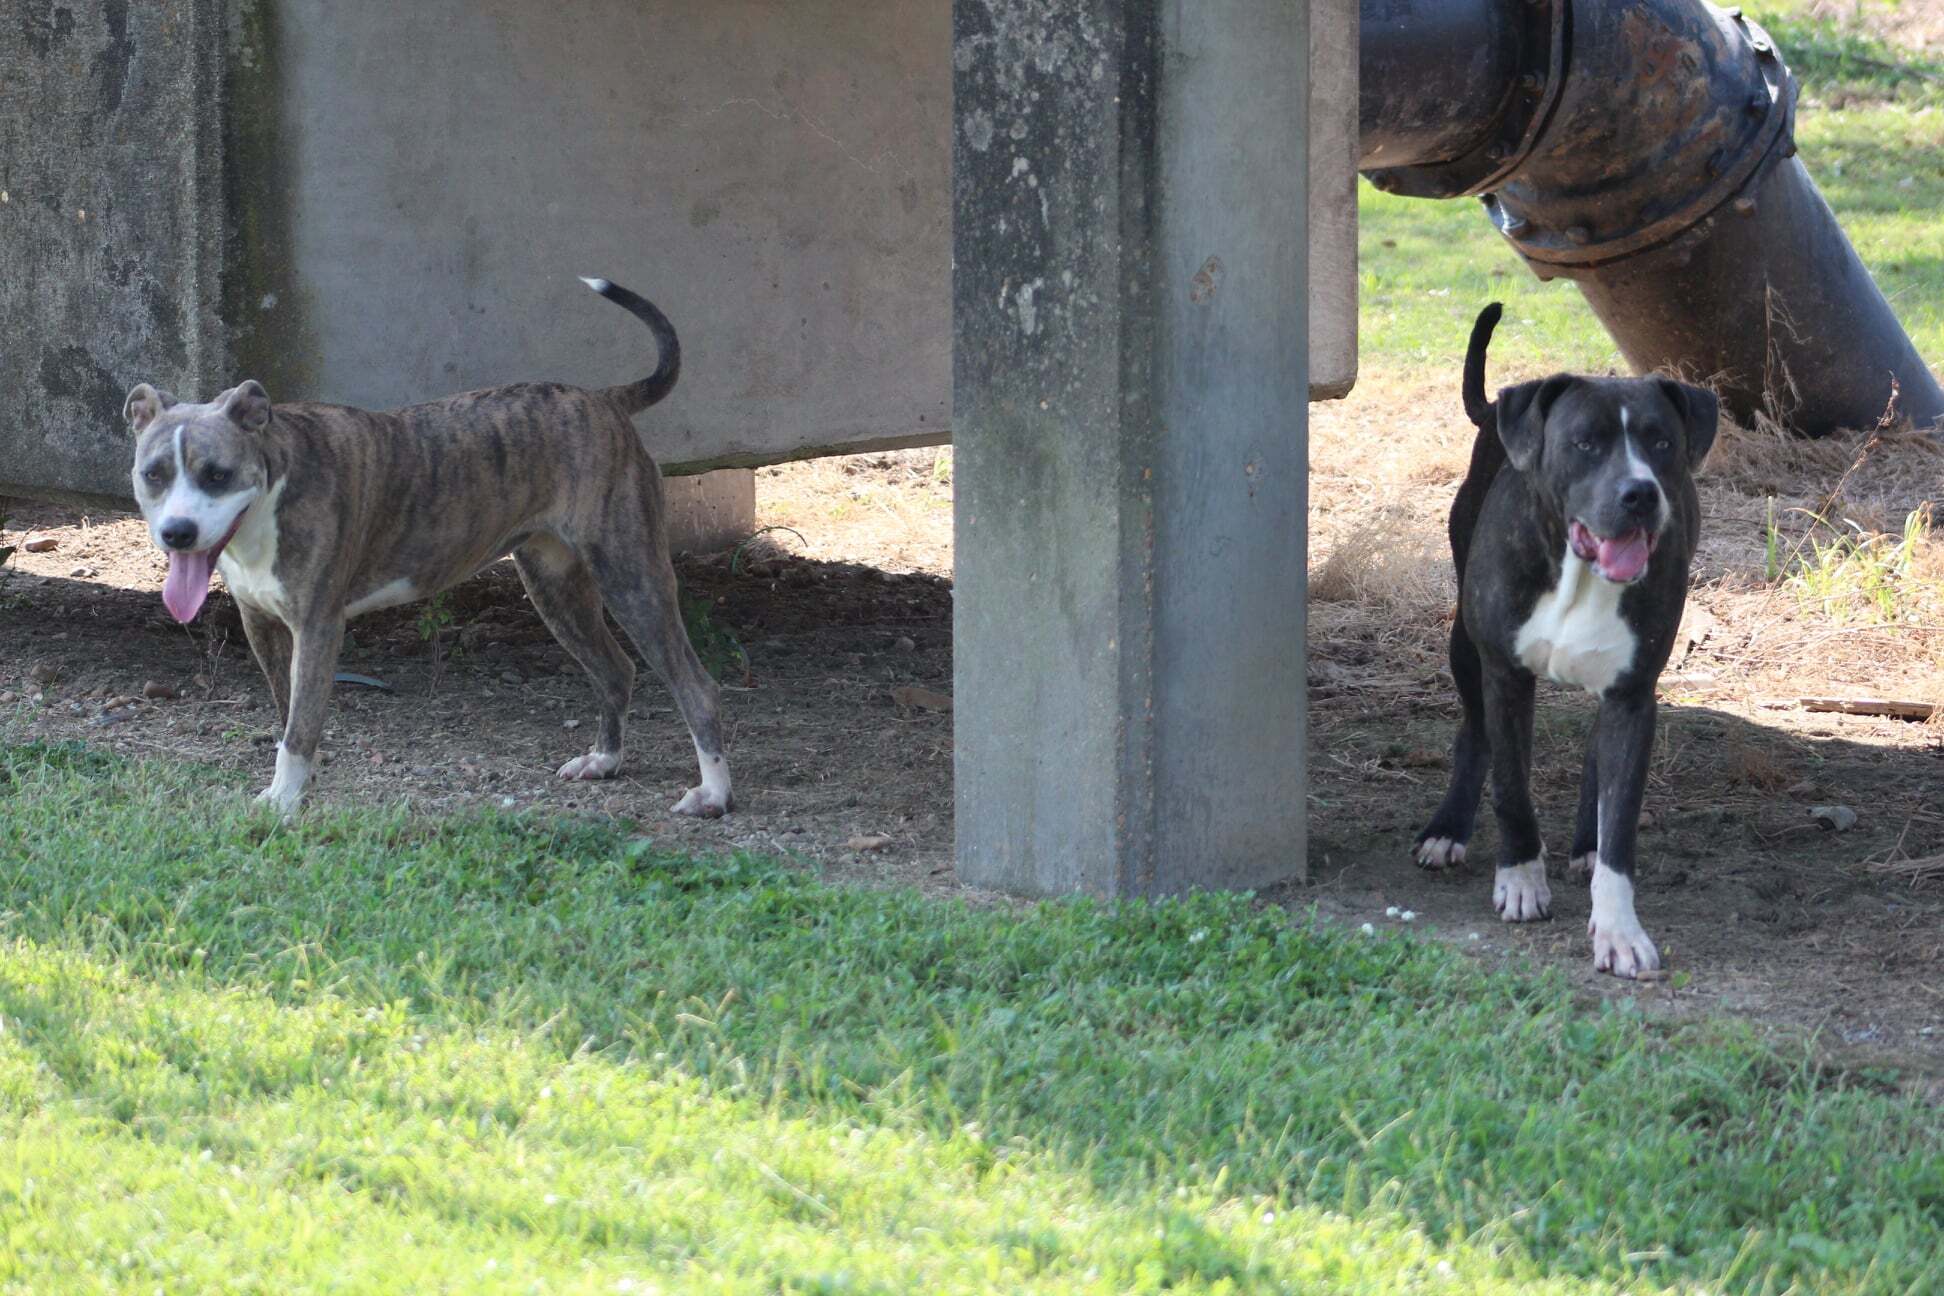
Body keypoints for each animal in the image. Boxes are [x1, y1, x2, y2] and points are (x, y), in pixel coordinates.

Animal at [127, 281, 734, 819]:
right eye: (153, 474)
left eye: (217, 473)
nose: (177, 532)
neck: (272, 490)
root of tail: (604, 401)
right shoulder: (262, 625)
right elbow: (287, 715)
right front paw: (297, 785)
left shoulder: (318, 628)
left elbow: (299, 726)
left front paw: (284, 802)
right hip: (554, 586)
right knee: (616, 670)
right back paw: (604, 761)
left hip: (631, 577)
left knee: (696, 686)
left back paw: (713, 795)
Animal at [1415, 301, 1718, 971]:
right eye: (1585, 443)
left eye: (1662, 441)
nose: (1640, 493)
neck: (1578, 575)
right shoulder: (1505, 675)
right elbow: (1511, 787)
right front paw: (1521, 880)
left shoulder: (1632, 694)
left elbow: (1620, 816)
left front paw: (1619, 929)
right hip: (1463, 647)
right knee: (1474, 735)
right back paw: (1448, 827)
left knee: (1595, 762)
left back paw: (1586, 841)